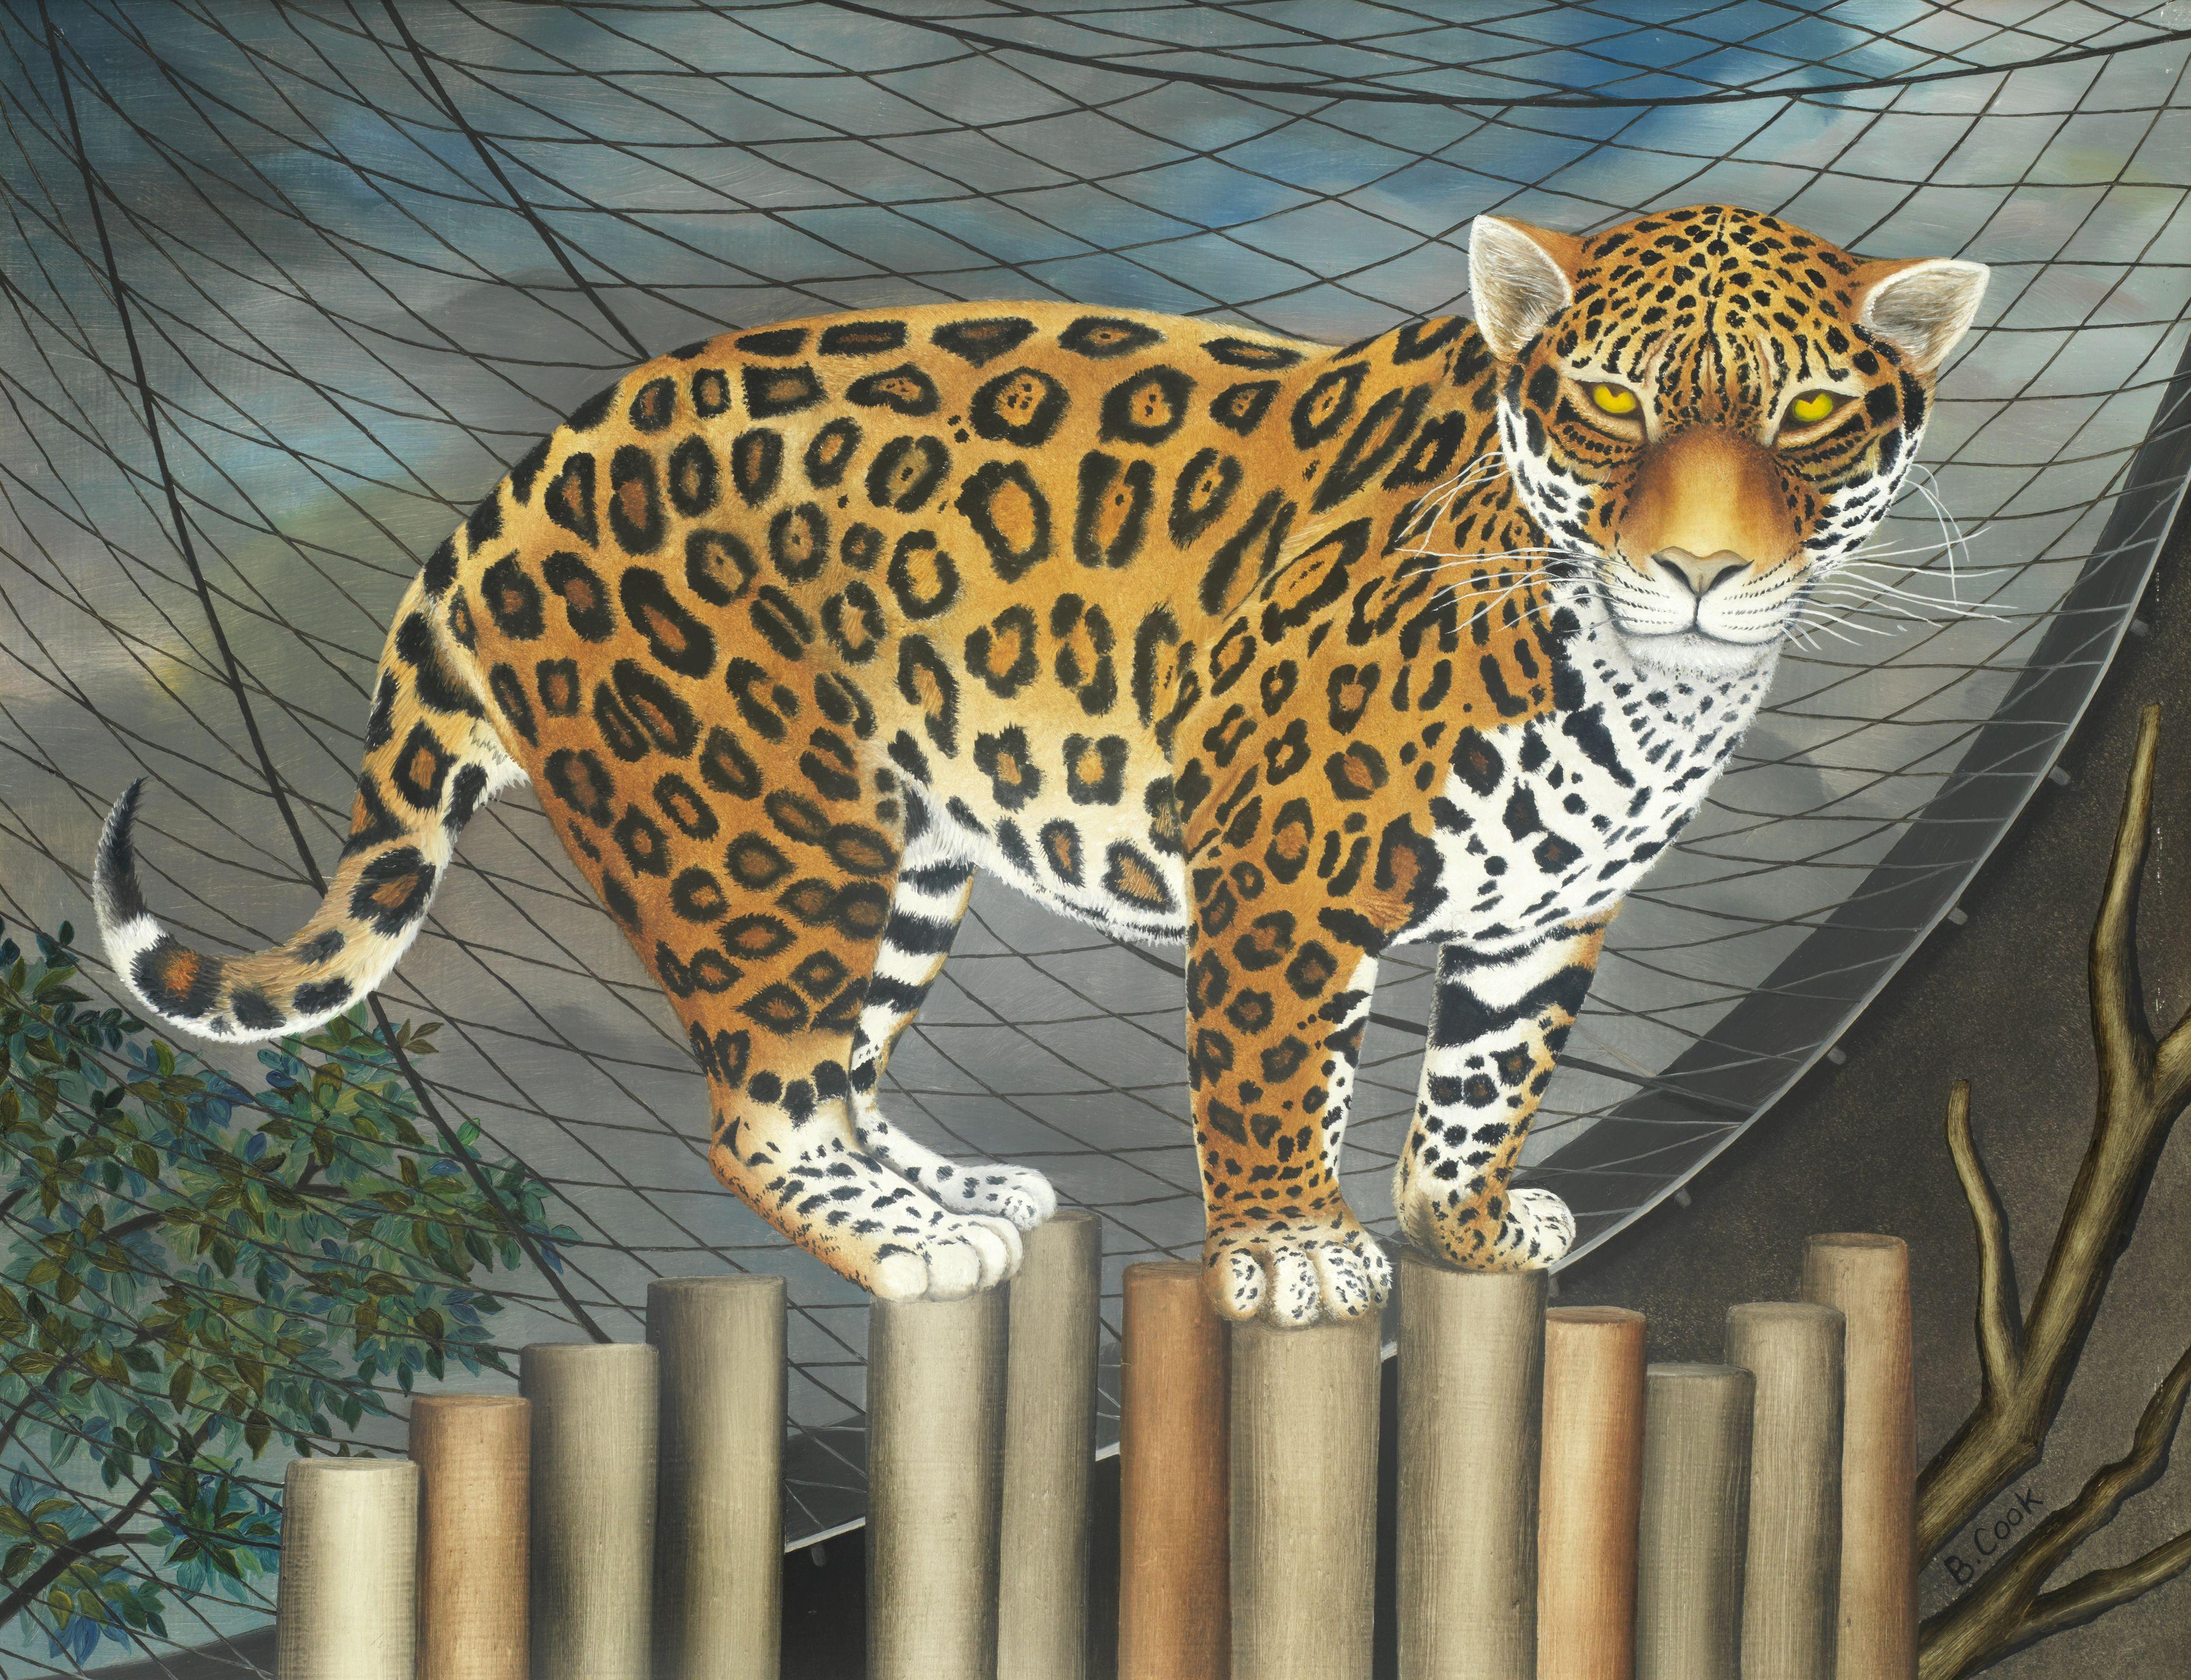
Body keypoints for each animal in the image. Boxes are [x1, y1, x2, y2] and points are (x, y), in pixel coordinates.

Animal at [92, 205, 1987, 1327]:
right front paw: (1291, 1253)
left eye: (1810, 417)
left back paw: (952, 1184)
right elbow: (1272, 1083)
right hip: (769, 835)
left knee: (832, 1071)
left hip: (899, 856)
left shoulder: (1545, 919)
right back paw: (912, 1240)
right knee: (756, 1107)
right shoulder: (1281, 881)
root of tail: (515, 483)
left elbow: (1482, 1085)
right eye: (1606, 403)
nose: (1700, 572)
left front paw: (1460, 1225)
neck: (1641, 689)